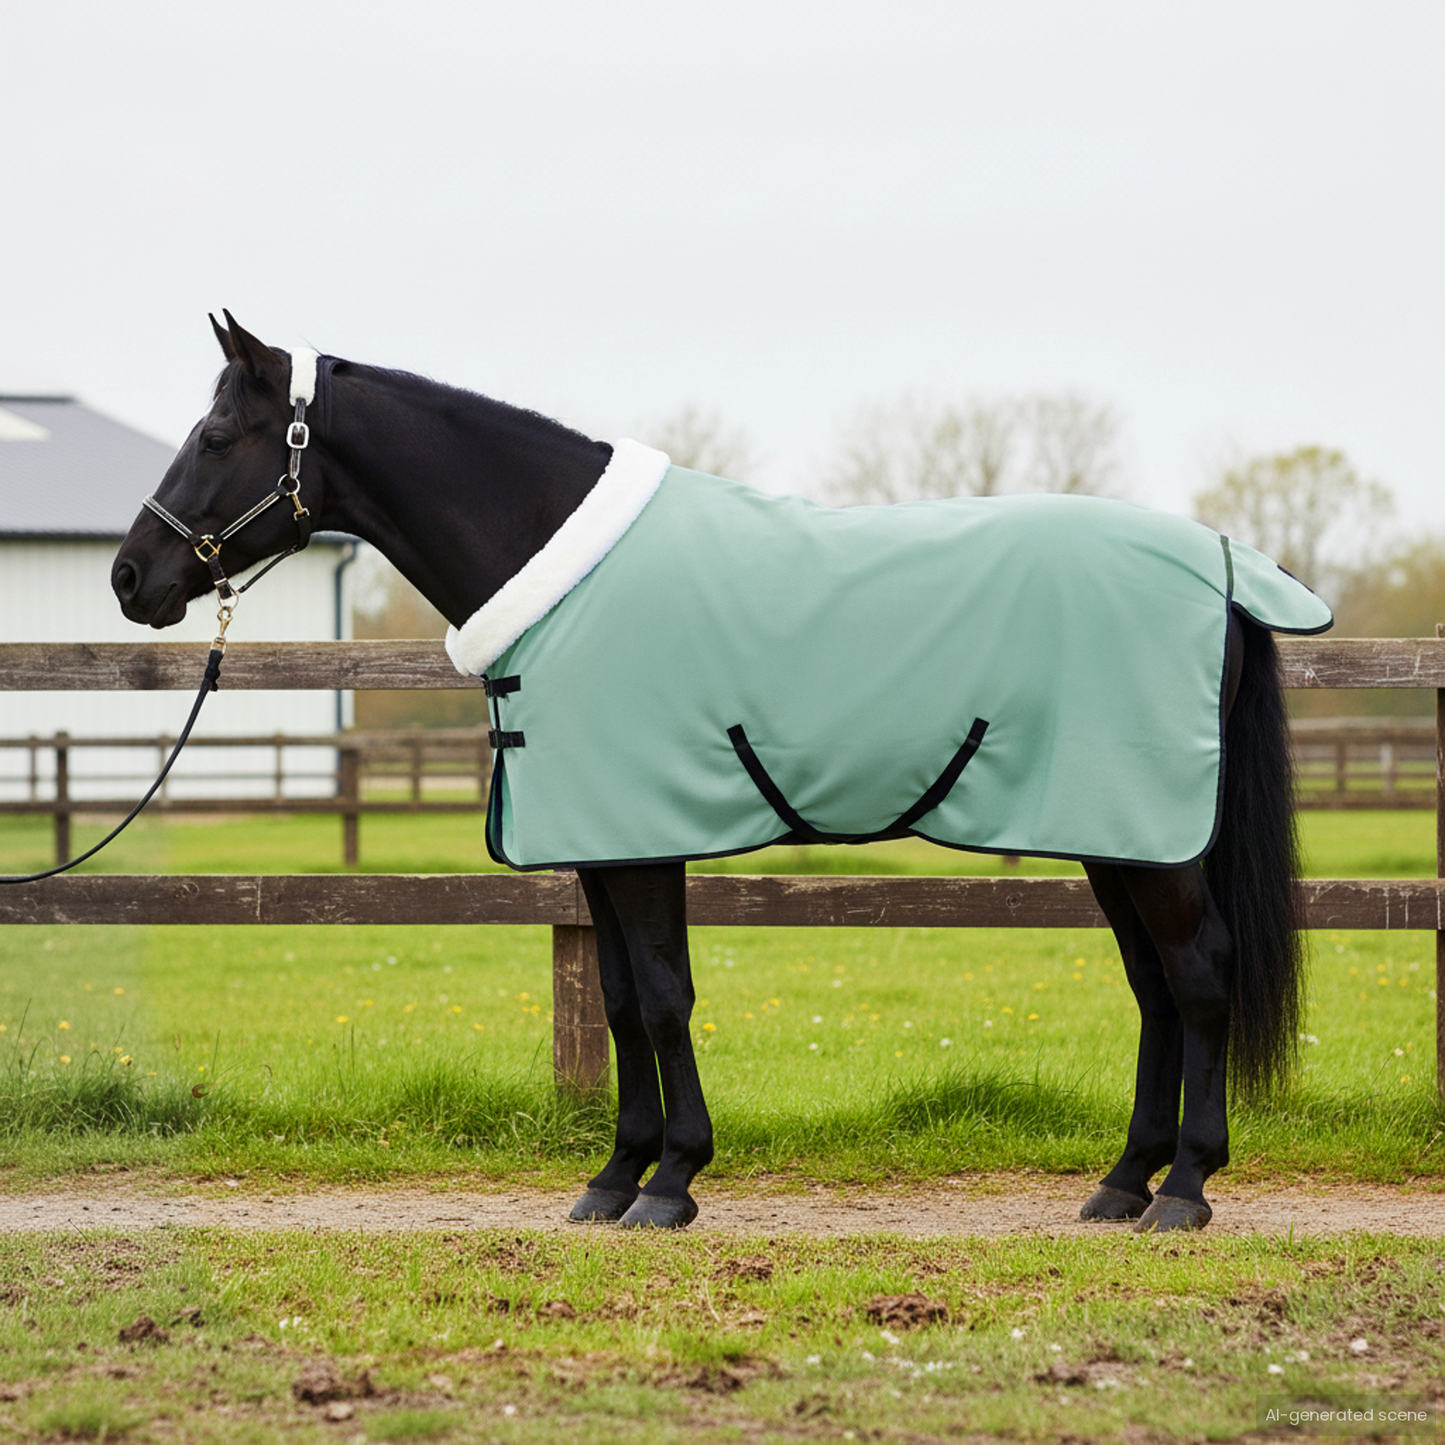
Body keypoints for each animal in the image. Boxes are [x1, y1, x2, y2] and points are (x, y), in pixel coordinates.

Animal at [112, 313, 1326, 1233]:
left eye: (217, 433)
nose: (131, 576)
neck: (558, 567)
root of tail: (1223, 566)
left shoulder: (642, 839)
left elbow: (660, 997)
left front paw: (671, 1182)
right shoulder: (598, 845)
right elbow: (615, 1000)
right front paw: (614, 1178)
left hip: (1150, 839)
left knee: (1199, 975)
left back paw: (1183, 1188)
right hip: (1114, 832)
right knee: (1154, 987)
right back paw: (1121, 1182)